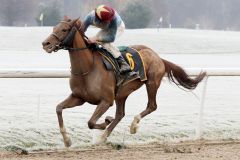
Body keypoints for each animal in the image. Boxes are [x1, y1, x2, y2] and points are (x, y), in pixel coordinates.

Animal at [41, 16, 206, 148]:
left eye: (64, 29)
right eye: (54, 28)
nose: (45, 43)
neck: (87, 68)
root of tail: (157, 56)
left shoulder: (106, 101)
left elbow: (91, 122)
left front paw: (106, 121)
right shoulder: (78, 97)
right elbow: (58, 108)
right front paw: (67, 140)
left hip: (152, 83)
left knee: (151, 106)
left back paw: (132, 126)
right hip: (122, 93)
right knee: (120, 114)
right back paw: (103, 137)